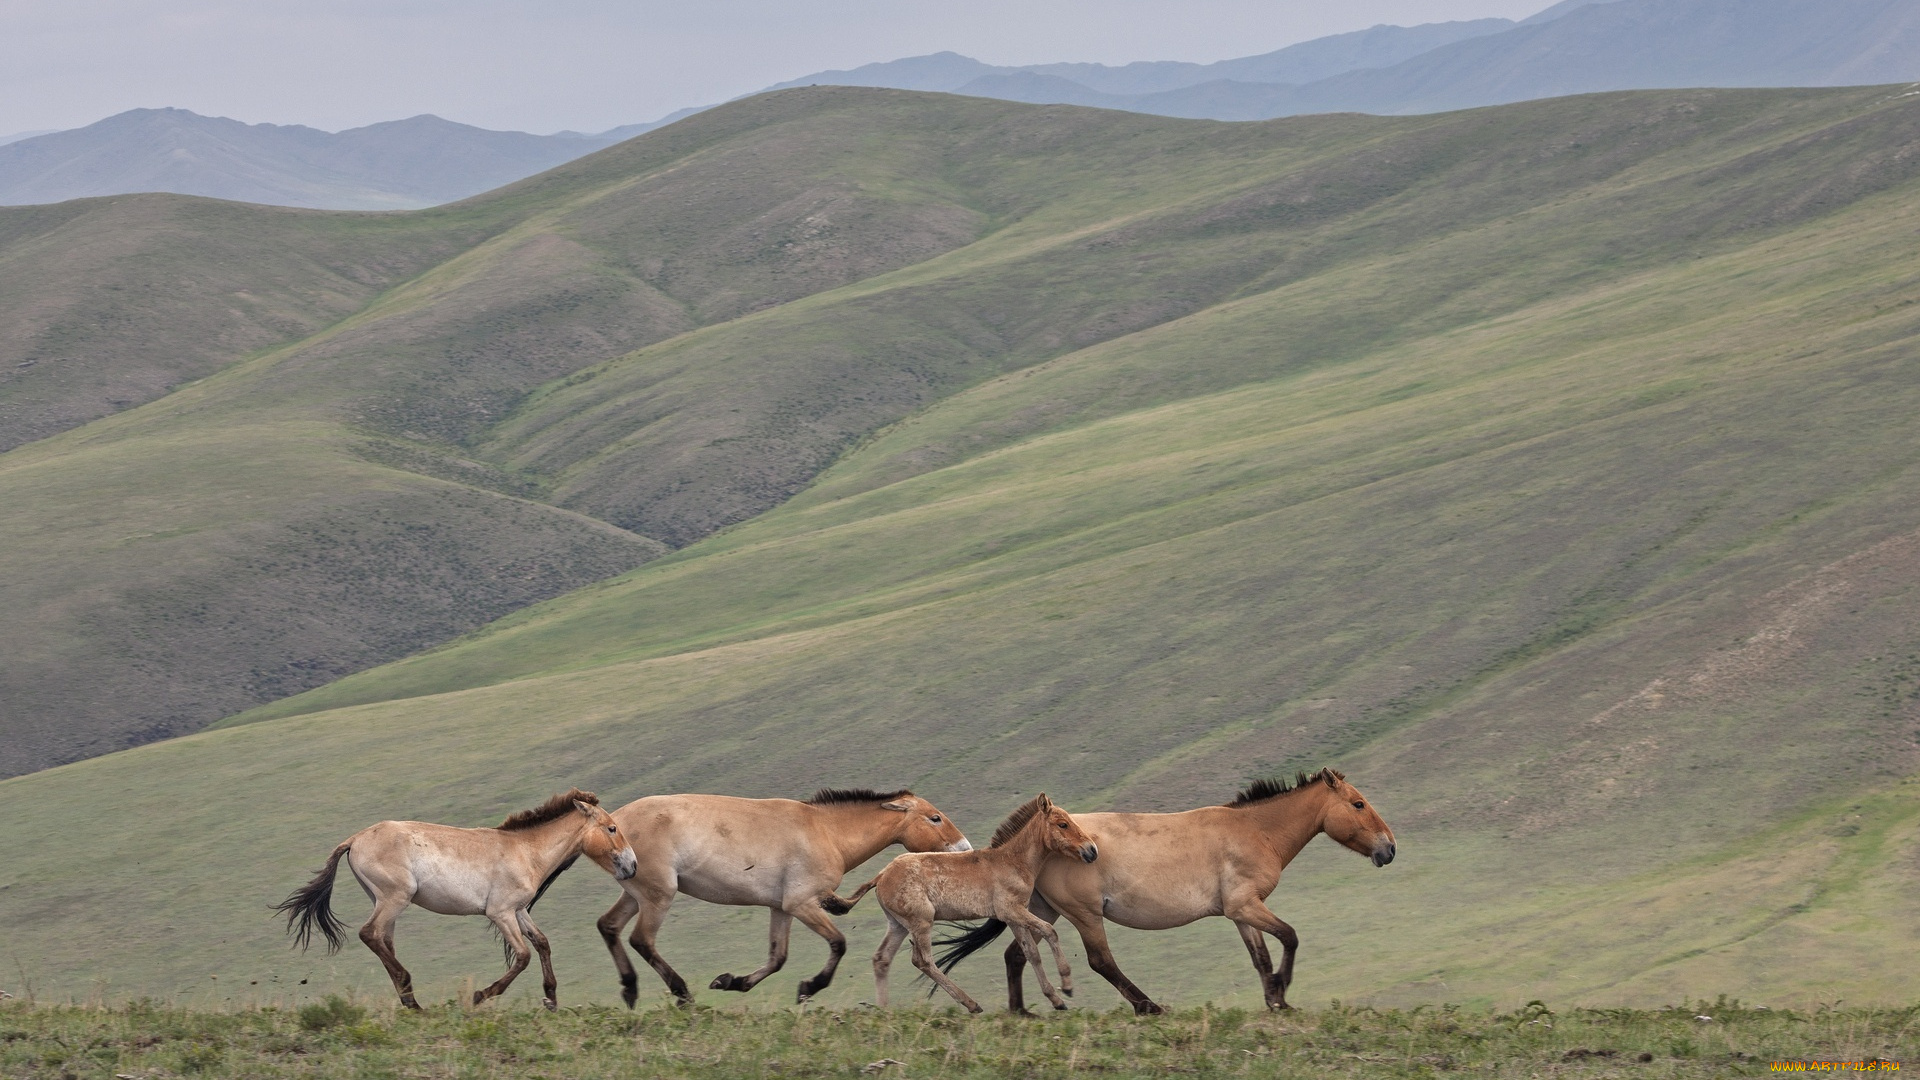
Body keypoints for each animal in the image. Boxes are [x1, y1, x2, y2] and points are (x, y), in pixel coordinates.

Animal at [276, 787, 637, 1006]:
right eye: (611, 828)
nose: (632, 865)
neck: (524, 850)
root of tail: (355, 839)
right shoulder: (500, 913)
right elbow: (522, 956)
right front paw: (481, 995)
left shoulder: (519, 911)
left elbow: (542, 944)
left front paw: (551, 999)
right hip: (395, 899)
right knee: (370, 934)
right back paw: (413, 998)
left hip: (383, 901)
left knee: (383, 941)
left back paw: (410, 1001)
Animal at [591, 780, 967, 999]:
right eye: (935, 818)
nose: (963, 849)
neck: (826, 831)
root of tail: (611, 823)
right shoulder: (803, 904)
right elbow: (838, 944)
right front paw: (809, 987)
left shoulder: (781, 908)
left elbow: (777, 957)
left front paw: (732, 981)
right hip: (658, 896)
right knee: (642, 940)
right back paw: (681, 992)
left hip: (636, 895)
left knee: (608, 926)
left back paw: (630, 989)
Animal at [821, 791, 1098, 1006]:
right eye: (1062, 824)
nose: (1092, 851)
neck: (1011, 861)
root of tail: (881, 875)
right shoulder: (1011, 911)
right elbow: (1050, 931)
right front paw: (1067, 985)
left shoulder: (1014, 918)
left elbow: (1031, 953)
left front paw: (1056, 999)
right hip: (921, 921)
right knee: (923, 961)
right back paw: (971, 1004)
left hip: (898, 925)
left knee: (882, 958)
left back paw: (884, 1011)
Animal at [933, 764, 1397, 1006]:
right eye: (1358, 804)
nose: (1389, 849)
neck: (1255, 831)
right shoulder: (1247, 906)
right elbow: (1290, 937)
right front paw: (1282, 990)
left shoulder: (1239, 913)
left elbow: (1261, 957)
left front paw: (1276, 1001)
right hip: (1084, 914)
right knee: (1101, 961)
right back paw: (1148, 1007)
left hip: (1041, 909)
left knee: (1016, 954)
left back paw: (1022, 1013)